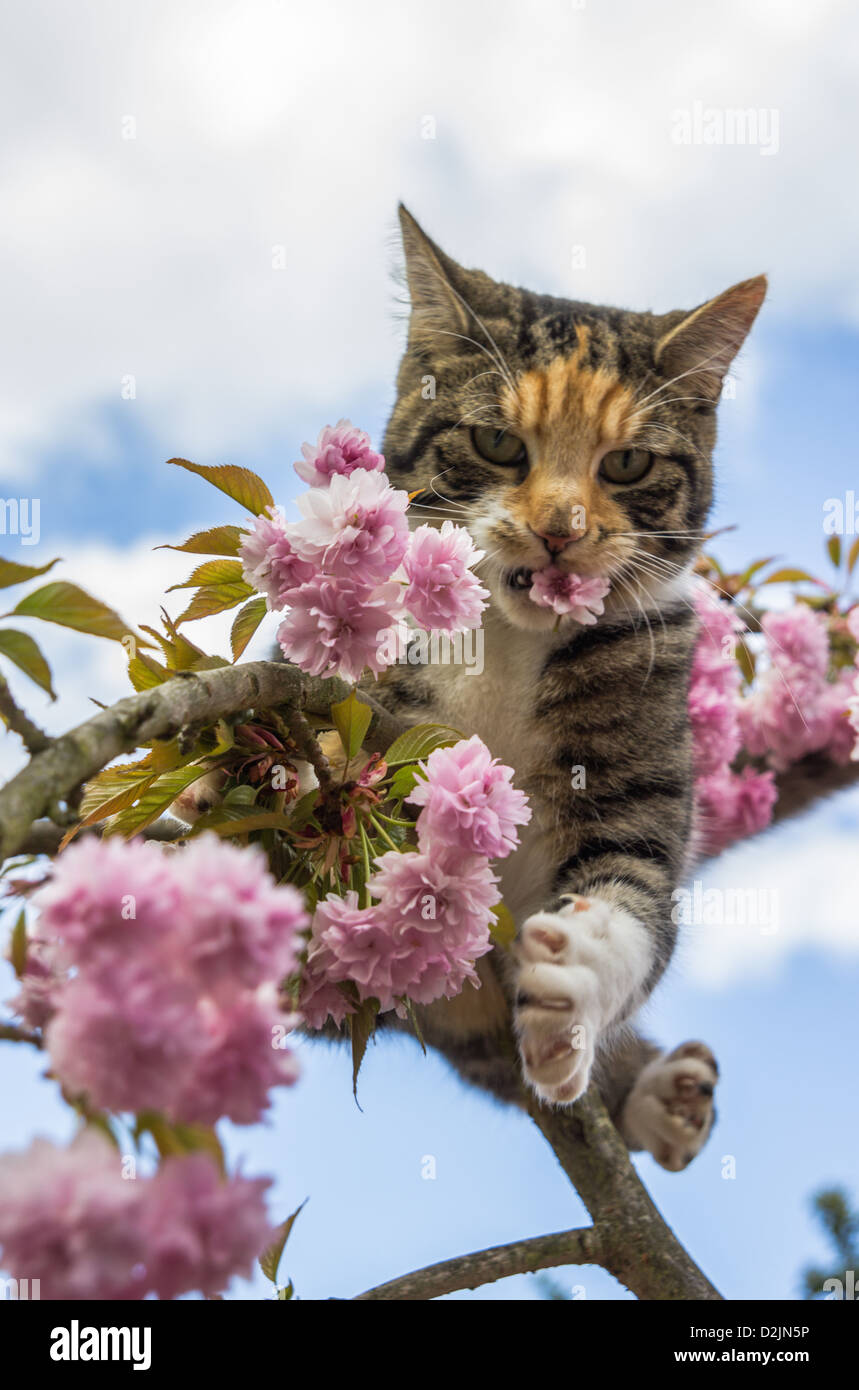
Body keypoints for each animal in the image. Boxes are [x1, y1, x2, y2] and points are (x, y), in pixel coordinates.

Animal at [364, 201, 767, 1167]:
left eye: (625, 465)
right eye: (496, 443)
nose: (559, 528)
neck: (513, 648)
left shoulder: (644, 758)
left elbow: (634, 894)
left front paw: (573, 978)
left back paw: (658, 1093)